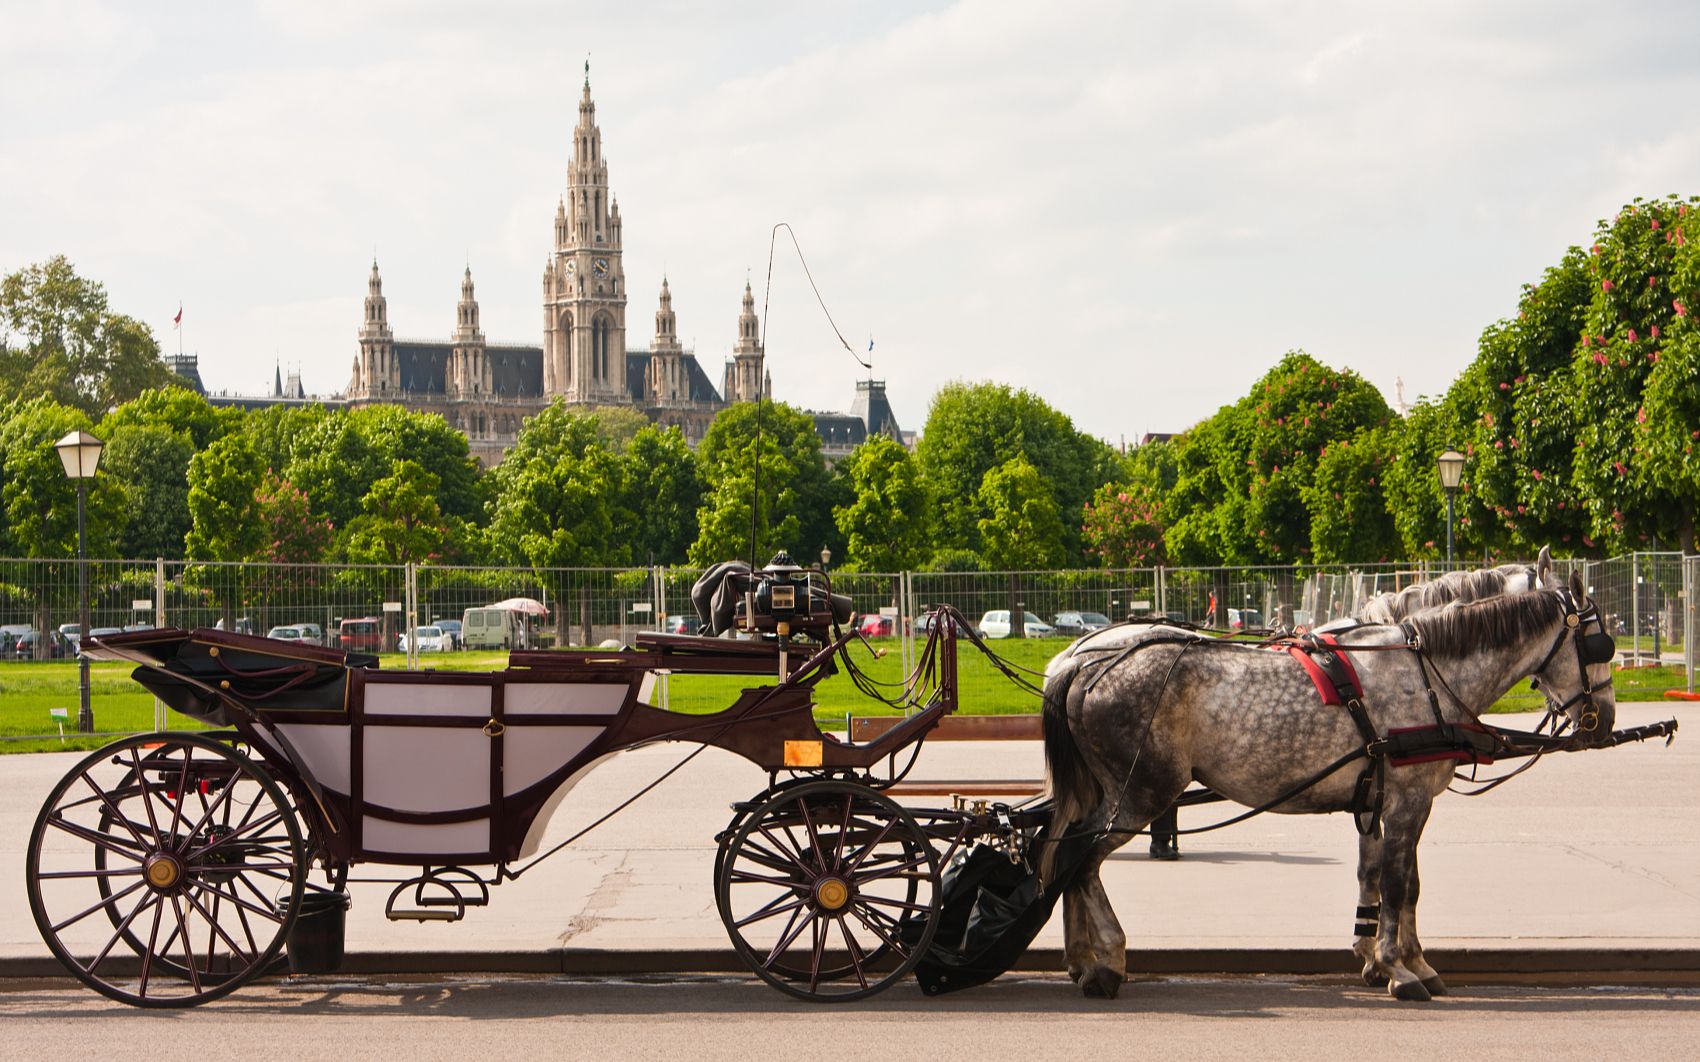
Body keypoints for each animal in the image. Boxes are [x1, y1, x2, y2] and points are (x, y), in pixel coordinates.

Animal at [1040, 567, 1611, 999]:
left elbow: (1383, 879)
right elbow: (1401, 884)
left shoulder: (1379, 801)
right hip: (1143, 793)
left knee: (1064, 850)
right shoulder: (1409, 800)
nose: (1602, 720)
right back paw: (1107, 961)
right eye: (1598, 644)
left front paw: (1389, 959)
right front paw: (1400, 968)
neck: (1424, 671)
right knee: (1080, 858)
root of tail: (1081, 666)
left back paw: (1082, 957)